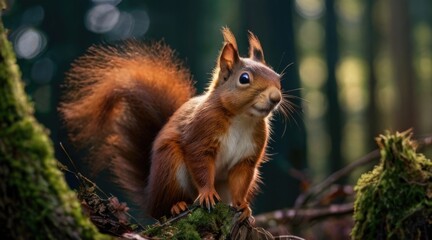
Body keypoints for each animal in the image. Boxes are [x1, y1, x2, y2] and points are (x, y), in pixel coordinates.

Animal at [60, 28, 284, 221]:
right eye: (244, 78)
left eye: (278, 78)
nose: (276, 97)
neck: (241, 118)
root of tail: (150, 194)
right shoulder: (200, 133)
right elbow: (200, 164)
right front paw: (207, 193)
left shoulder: (247, 157)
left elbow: (240, 181)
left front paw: (242, 205)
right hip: (169, 165)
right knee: (161, 210)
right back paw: (177, 206)